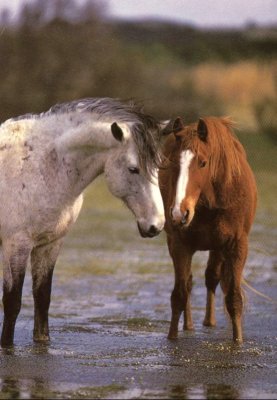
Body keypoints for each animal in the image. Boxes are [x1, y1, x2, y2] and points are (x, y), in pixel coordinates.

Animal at [0, 97, 164, 346]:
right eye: (133, 169)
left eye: (159, 168)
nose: (156, 225)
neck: (42, 165)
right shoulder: (16, 246)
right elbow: (12, 303)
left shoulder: (50, 244)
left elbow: (42, 297)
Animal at [160, 117, 256, 342]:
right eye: (173, 162)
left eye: (203, 163)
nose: (179, 213)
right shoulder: (179, 245)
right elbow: (179, 294)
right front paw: (172, 337)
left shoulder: (236, 245)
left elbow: (234, 298)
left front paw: (238, 340)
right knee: (189, 283)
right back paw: (189, 325)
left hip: (218, 248)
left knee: (212, 277)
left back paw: (209, 321)